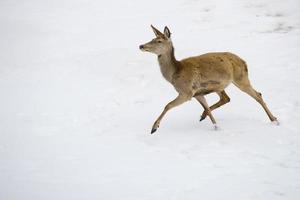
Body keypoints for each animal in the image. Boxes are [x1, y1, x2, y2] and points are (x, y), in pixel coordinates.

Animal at [139, 25, 278, 134]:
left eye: (159, 41)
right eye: (152, 38)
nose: (141, 45)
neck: (175, 74)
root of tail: (244, 62)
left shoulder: (187, 92)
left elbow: (167, 105)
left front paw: (154, 128)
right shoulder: (197, 93)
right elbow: (207, 109)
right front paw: (216, 127)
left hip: (241, 78)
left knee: (257, 95)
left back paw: (275, 120)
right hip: (220, 85)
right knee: (226, 98)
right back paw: (202, 116)